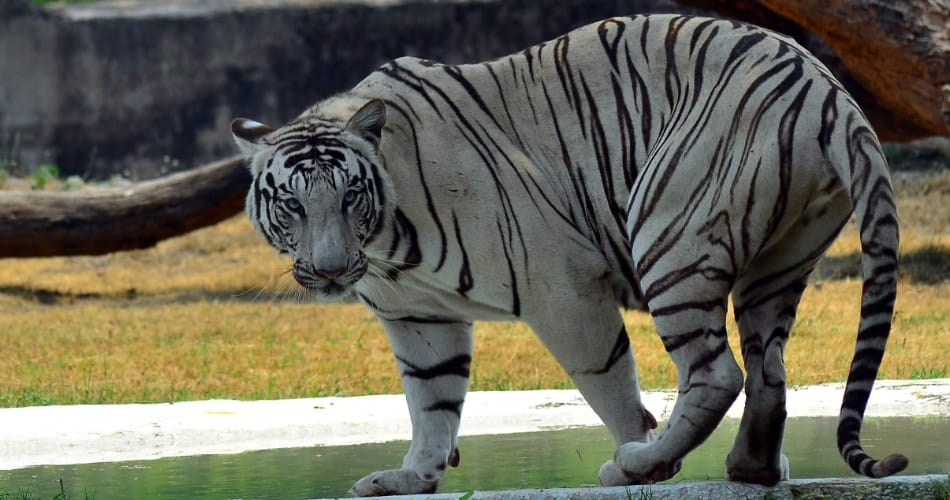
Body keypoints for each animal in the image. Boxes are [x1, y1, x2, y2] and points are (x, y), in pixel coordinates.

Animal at [231, 13, 906, 496]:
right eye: (292, 206)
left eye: (349, 196)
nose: (329, 270)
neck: (386, 247)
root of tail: (826, 87)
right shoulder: (417, 314)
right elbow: (432, 399)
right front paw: (412, 477)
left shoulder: (560, 284)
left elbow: (608, 381)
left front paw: (641, 463)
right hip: (779, 260)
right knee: (769, 368)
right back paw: (751, 468)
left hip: (670, 232)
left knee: (717, 373)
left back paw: (638, 464)